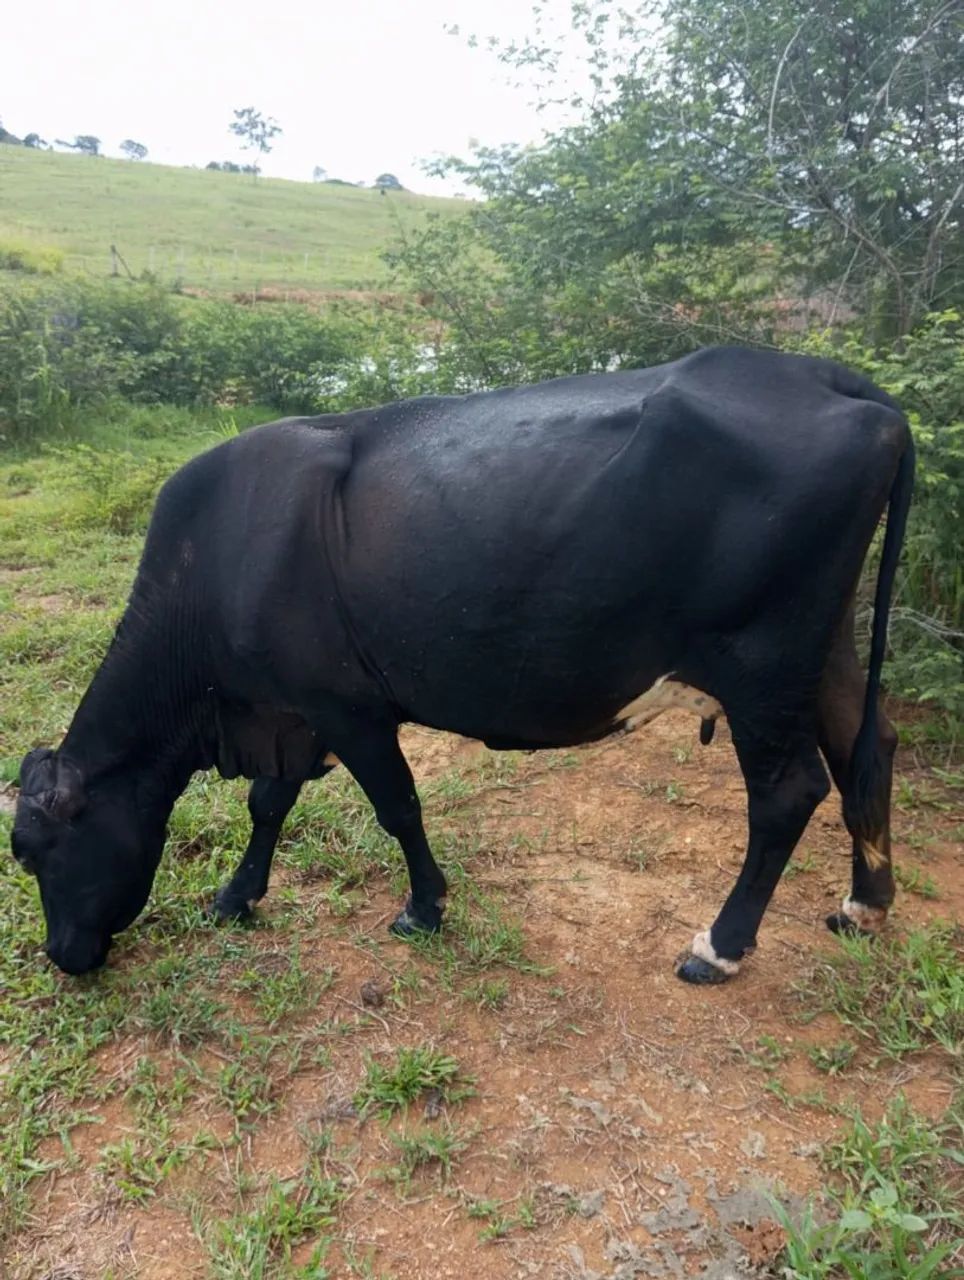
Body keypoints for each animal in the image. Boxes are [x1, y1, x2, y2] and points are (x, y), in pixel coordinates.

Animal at [10, 347, 914, 984]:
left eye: (34, 852)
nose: (61, 956)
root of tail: (825, 376)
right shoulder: (289, 708)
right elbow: (269, 804)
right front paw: (238, 896)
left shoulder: (344, 705)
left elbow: (397, 806)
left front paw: (423, 907)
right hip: (823, 652)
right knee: (869, 750)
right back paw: (863, 906)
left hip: (762, 665)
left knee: (788, 793)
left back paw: (719, 946)